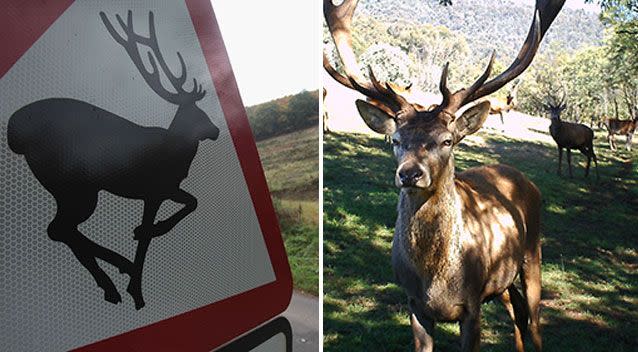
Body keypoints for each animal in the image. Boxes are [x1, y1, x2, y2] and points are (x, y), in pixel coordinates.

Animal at [5, 9, 220, 310]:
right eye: (197, 114)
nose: (216, 130)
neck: (175, 149)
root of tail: (16, 137)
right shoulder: (155, 189)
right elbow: (169, 219)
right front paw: (137, 287)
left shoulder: (164, 190)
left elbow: (191, 202)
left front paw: (141, 244)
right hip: (73, 187)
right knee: (58, 228)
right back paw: (120, 268)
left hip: (69, 189)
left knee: (61, 230)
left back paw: (112, 283)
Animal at [324, 1, 564, 350]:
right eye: (396, 140)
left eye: (447, 141)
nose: (410, 173)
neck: (437, 280)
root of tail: (524, 179)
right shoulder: (414, 305)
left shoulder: (472, 305)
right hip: (502, 281)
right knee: (517, 312)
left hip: (533, 251)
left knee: (534, 320)